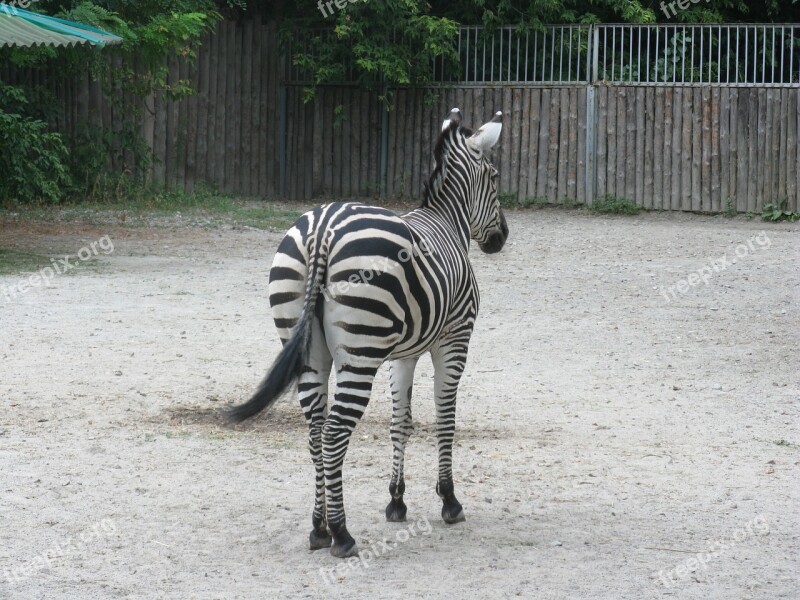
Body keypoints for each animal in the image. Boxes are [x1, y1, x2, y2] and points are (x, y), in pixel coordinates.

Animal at [228, 106, 510, 556]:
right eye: (495, 176)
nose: (501, 238)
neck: (447, 221)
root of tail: (323, 227)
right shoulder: (454, 340)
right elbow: (444, 418)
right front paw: (449, 499)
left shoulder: (404, 353)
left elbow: (402, 421)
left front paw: (396, 500)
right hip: (360, 355)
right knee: (333, 433)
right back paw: (341, 534)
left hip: (308, 348)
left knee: (315, 431)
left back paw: (318, 529)